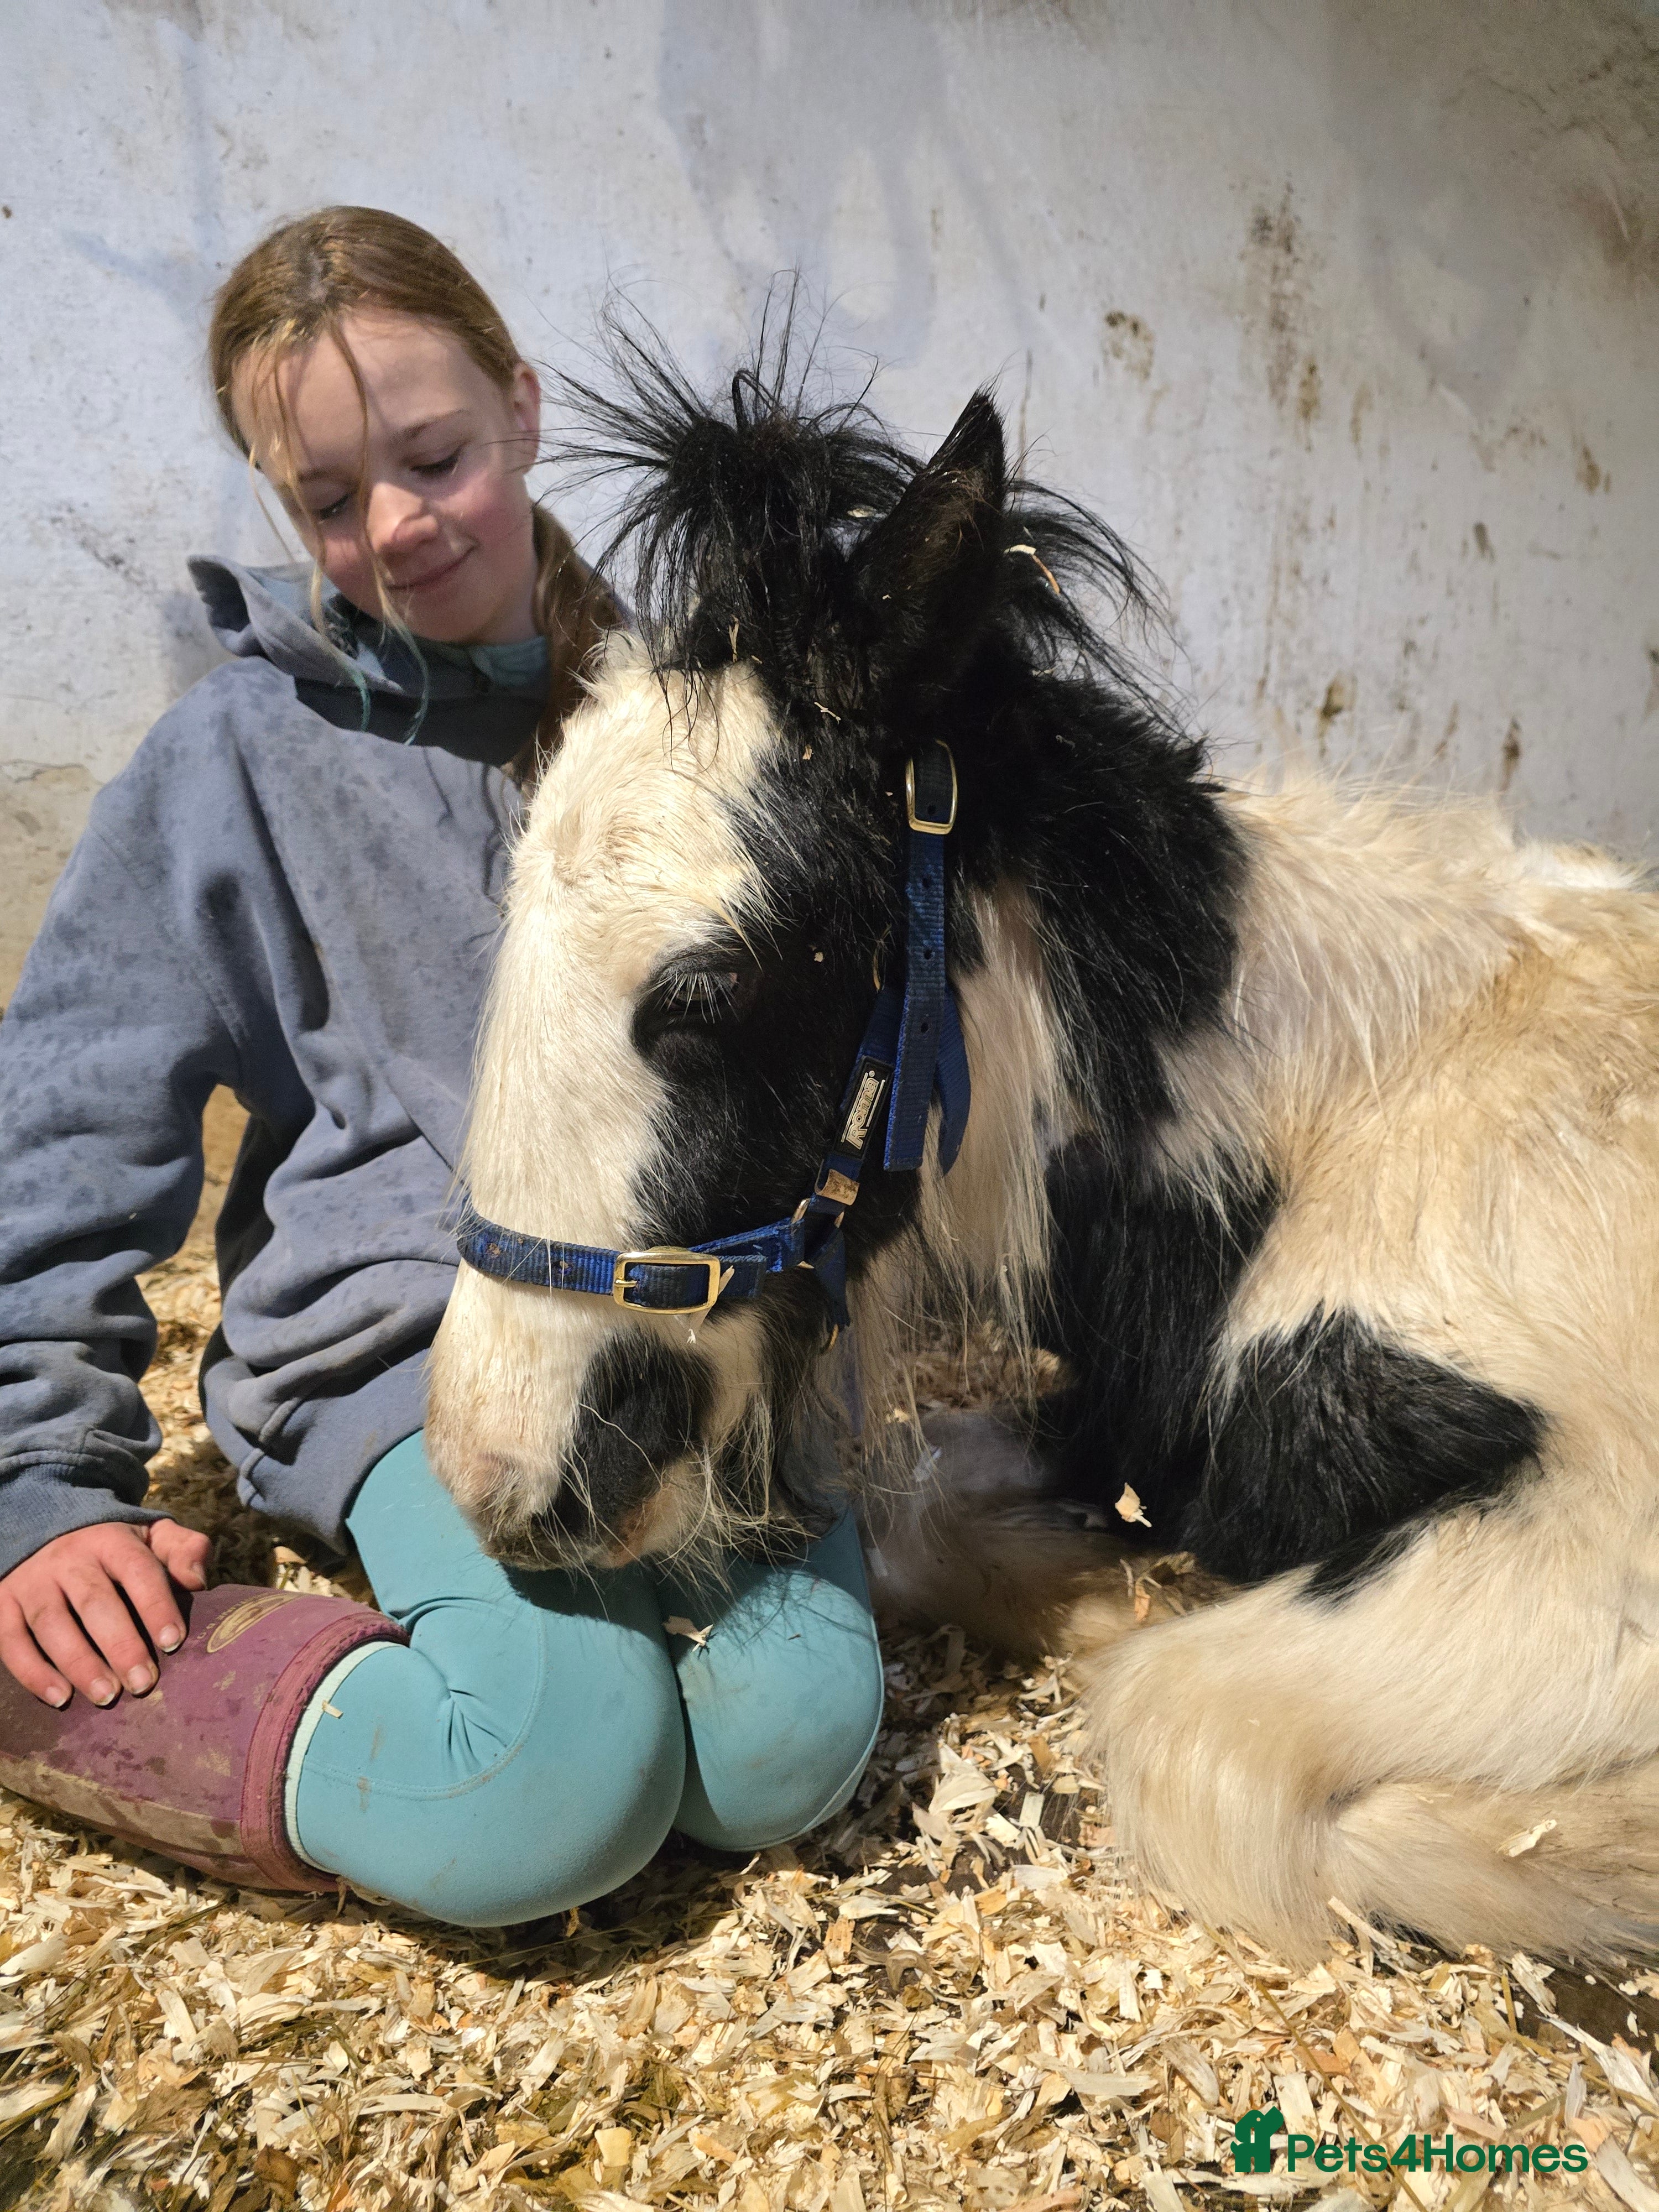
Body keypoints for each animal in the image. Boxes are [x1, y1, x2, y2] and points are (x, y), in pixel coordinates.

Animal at [425, 335, 1659, 1968]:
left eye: (705, 989)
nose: (487, 1467)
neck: (1355, 1122)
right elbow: (959, 1530)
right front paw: (1114, 1592)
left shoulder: (1588, 1553)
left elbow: (1195, 1726)